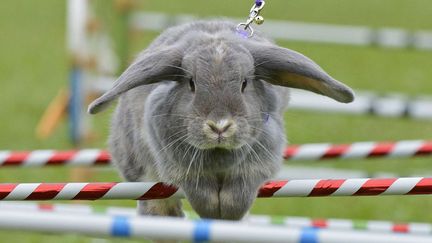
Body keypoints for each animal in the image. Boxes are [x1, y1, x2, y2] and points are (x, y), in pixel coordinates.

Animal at [88, 19, 354, 219]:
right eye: (191, 83)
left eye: (244, 83)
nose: (219, 126)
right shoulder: (178, 164)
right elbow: (199, 191)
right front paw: (211, 213)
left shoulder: (260, 161)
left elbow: (239, 193)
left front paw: (227, 216)